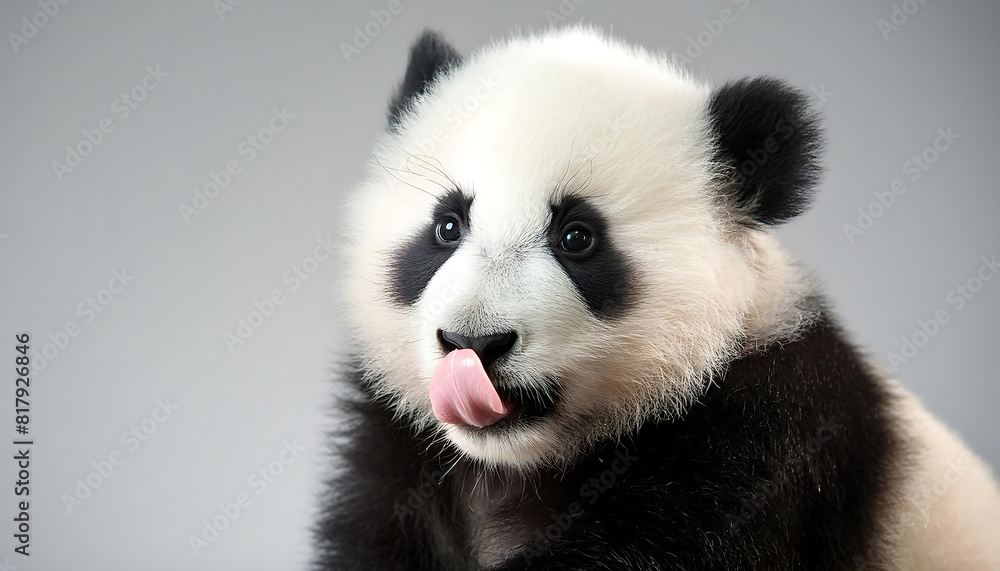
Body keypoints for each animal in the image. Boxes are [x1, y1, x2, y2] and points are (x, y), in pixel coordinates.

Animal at [315, 27, 1000, 570]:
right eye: (447, 226)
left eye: (577, 237)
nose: (473, 343)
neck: (515, 463)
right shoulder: (399, 453)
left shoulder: (765, 447)